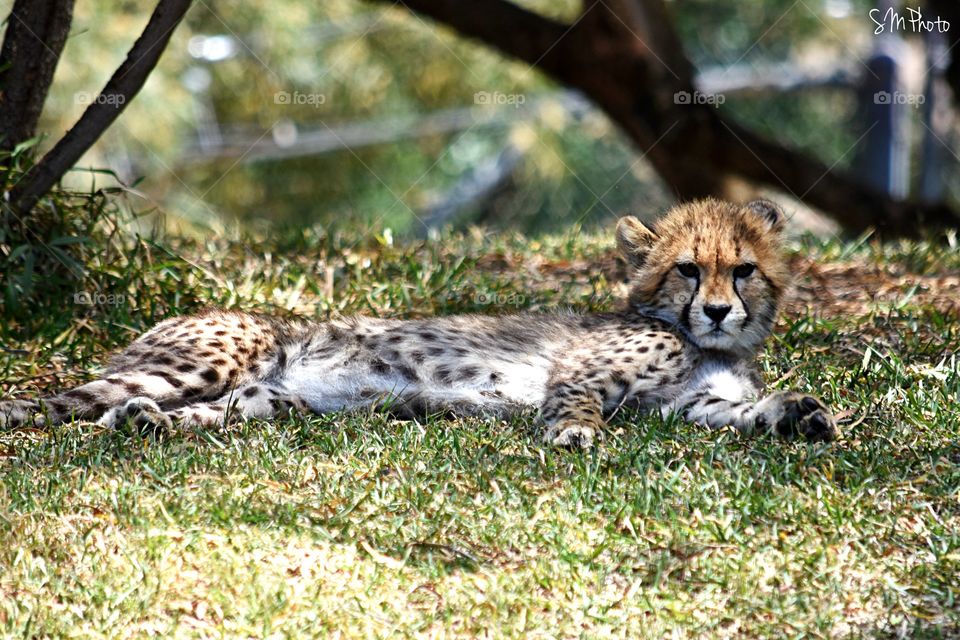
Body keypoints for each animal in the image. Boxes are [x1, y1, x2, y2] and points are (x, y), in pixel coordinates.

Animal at [0, 198, 836, 446]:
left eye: (743, 269)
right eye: (689, 269)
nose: (719, 311)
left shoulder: (693, 405)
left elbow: (743, 410)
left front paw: (801, 414)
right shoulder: (583, 373)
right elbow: (575, 401)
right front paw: (573, 436)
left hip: (274, 400)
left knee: (198, 412)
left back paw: (147, 424)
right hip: (214, 355)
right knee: (59, 403)